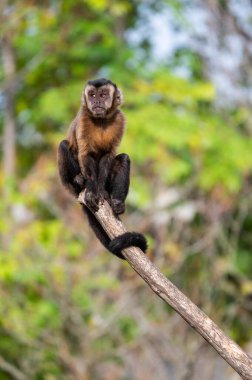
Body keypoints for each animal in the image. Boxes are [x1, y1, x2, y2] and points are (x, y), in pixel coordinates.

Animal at [57, 78, 147, 260]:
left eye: (103, 94)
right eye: (92, 95)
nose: (97, 101)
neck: (101, 120)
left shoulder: (120, 120)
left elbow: (108, 156)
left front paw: (101, 192)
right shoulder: (84, 118)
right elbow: (86, 154)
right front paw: (92, 191)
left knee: (123, 158)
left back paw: (117, 203)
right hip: (67, 184)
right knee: (63, 145)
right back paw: (79, 181)